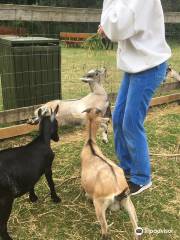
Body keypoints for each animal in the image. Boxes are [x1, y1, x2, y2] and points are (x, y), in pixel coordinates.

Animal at [0, 105, 60, 240]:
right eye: (57, 123)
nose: (58, 138)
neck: (43, 140)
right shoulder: (48, 167)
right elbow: (51, 183)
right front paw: (55, 198)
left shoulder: (31, 172)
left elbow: (31, 183)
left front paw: (33, 197)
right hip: (5, 200)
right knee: (2, 225)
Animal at [80, 108, 141, 239]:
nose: (105, 140)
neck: (90, 143)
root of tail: (117, 192)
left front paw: (86, 196)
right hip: (128, 202)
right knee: (135, 224)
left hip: (99, 205)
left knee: (105, 230)